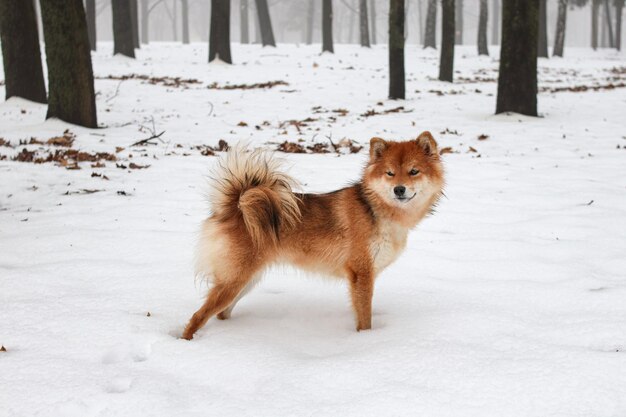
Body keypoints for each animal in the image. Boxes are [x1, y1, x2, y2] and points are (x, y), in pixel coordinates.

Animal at [180, 132, 444, 340]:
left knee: (221, 313)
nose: (399, 189)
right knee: (198, 316)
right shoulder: (361, 273)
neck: (376, 210)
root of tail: (234, 206)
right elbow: (364, 318)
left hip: (245, 281)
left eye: (414, 172)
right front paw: (365, 340)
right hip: (235, 280)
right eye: (389, 173)